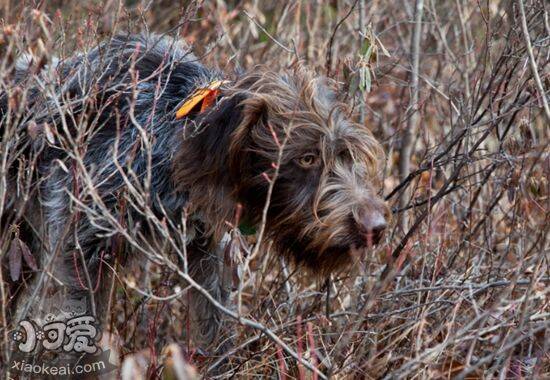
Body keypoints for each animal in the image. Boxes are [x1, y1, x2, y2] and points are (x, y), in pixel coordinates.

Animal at [3, 32, 392, 348]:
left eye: (346, 155)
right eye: (307, 158)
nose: (375, 228)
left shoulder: (207, 249)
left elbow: (215, 326)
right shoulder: (82, 251)